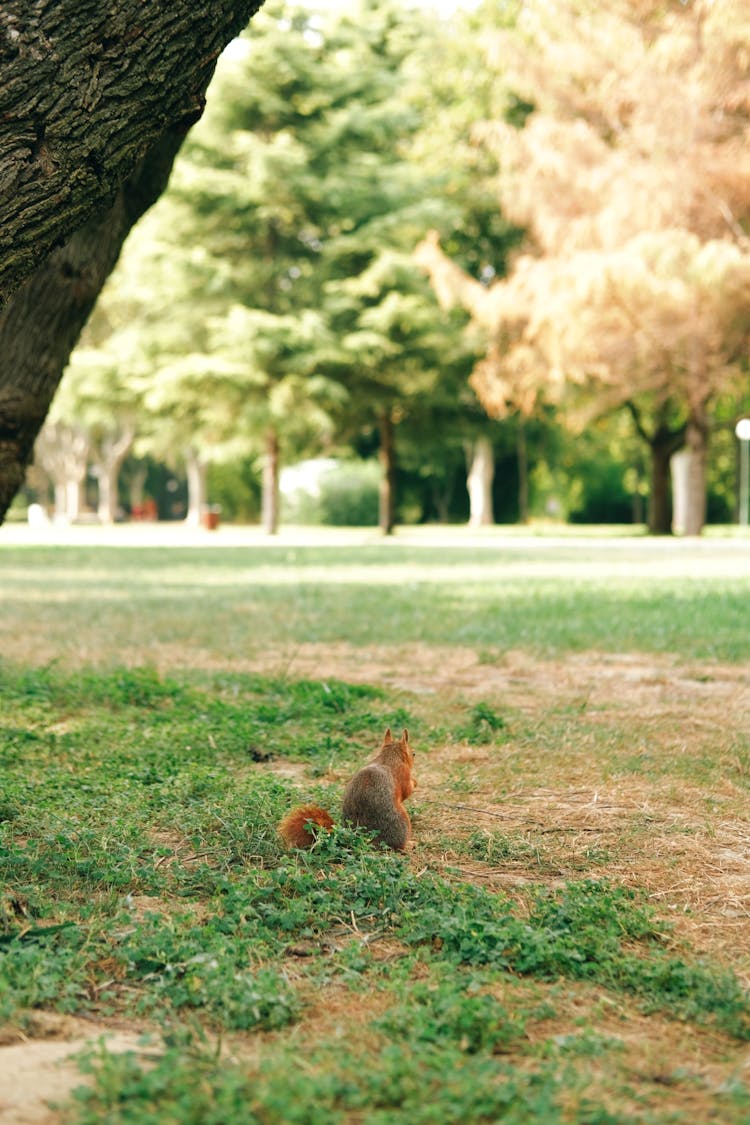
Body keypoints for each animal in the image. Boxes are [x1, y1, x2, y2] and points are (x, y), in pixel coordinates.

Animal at [277, 729, 416, 850]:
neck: (390, 756)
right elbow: (407, 791)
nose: (414, 755)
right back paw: (409, 844)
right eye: (413, 754)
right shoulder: (403, 775)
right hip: (403, 821)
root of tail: (360, 836)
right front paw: (415, 783)